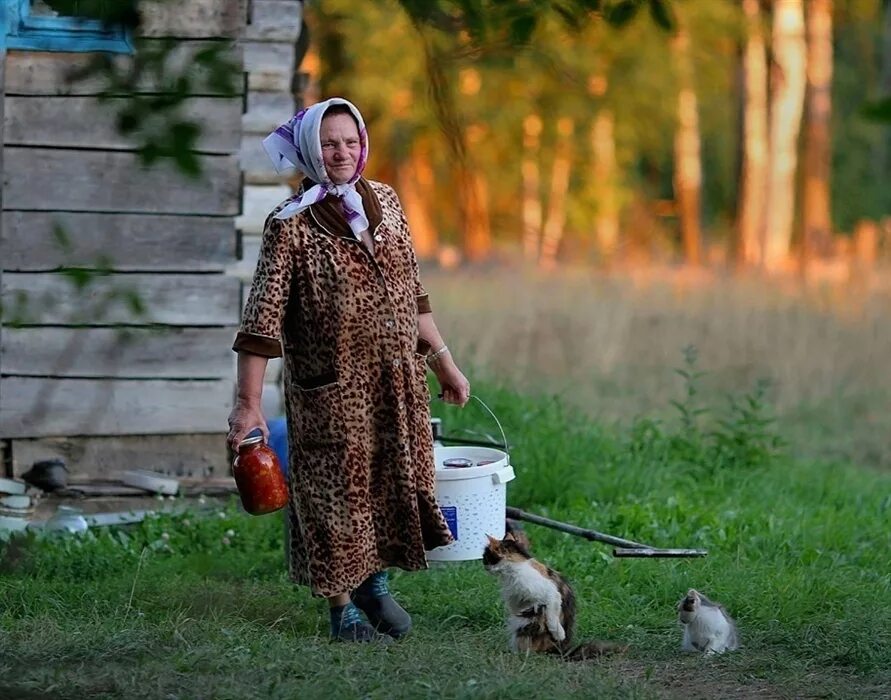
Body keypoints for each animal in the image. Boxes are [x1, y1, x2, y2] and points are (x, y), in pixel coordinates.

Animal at [480, 536, 628, 660]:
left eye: (485, 558)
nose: (484, 567)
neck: (515, 566)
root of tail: (560, 651)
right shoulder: (518, 598)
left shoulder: (549, 592)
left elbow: (552, 615)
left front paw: (558, 633)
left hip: (524, 625)